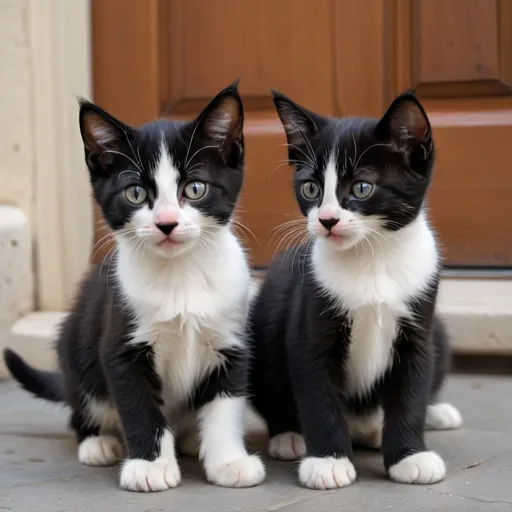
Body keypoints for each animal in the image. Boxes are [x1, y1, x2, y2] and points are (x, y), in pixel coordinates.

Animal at [4, 83, 266, 492]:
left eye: (195, 188)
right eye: (136, 194)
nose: (166, 223)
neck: (181, 275)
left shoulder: (232, 340)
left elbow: (226, 405)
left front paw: (229, 461)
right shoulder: (121, 345)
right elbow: (139, 405)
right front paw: (150, 467)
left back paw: (191, 439)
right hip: (76, 348)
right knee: (81, 405)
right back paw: (97, 442)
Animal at [249, 90, 464, 490]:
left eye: (362, 187)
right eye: (311, 188)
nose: (327, 220)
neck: (372, 257)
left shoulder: (418, 326)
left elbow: (412, 389)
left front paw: (410, 456)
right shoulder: (309, 326)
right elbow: (317, 393)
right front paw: (328, 461)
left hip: (438, 330)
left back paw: (431, 414)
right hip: (265, 313)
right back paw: (288, 436)